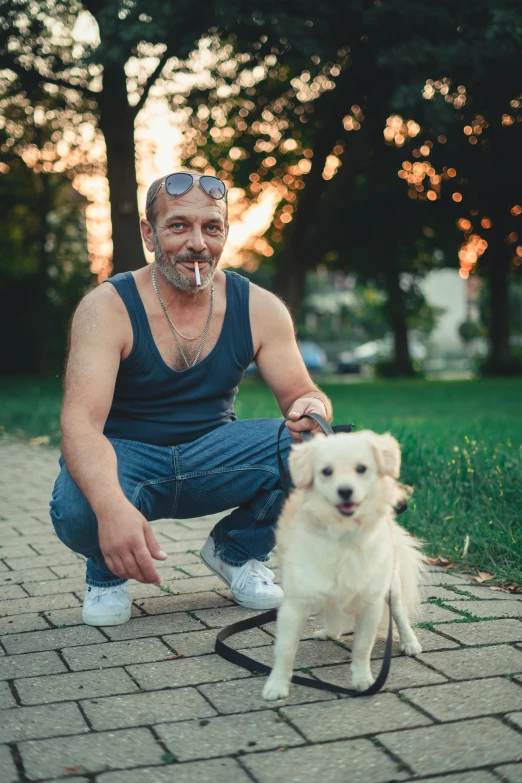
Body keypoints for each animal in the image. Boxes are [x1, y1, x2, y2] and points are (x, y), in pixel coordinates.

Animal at [262, 432, 424, 700]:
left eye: (362, 469)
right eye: (327, 471)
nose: (345, 491)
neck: (343, 535)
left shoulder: (371, 604)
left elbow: (362, 647)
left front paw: (363, 680)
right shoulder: (294, 605)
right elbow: (284, 649)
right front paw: (276, 685)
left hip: (392, 588)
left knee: (400, 614)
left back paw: (410, 642)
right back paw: (330, 631)